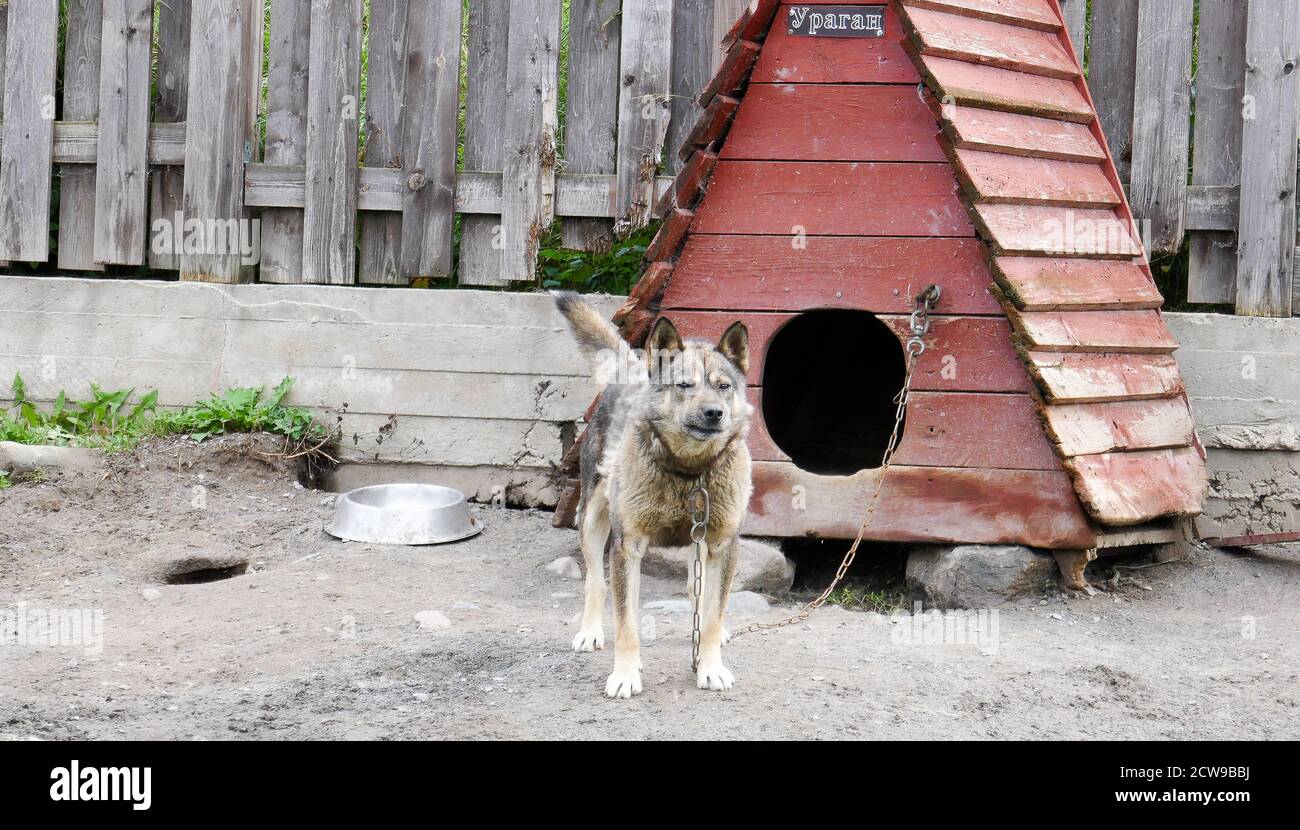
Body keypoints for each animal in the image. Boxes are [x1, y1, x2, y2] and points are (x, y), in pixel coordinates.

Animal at [551, 296, 754, 697]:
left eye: (724, 386)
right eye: (684, 385)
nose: (714, 413)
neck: (690, 471)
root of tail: (631, 370)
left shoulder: (722, 544)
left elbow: (711, 614)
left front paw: (710, 667)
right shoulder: (627, 547)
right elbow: (626, 623)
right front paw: (626, 675)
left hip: (698, 546)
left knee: (696, 590)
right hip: (592, 519)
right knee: (596, 582)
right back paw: (590, 632)